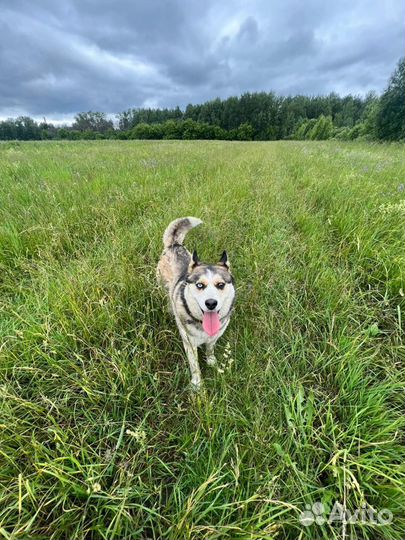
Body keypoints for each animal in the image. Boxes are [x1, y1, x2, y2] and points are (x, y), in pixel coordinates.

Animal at [156, 217, 235, 390]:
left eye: (220, 285)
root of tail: (174, 245)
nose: (211, 303)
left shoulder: (214, 337)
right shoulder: (189, 343)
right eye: (200, 285)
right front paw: (197, 384)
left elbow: (210, 349)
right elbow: (194, 365)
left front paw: (211, 361)